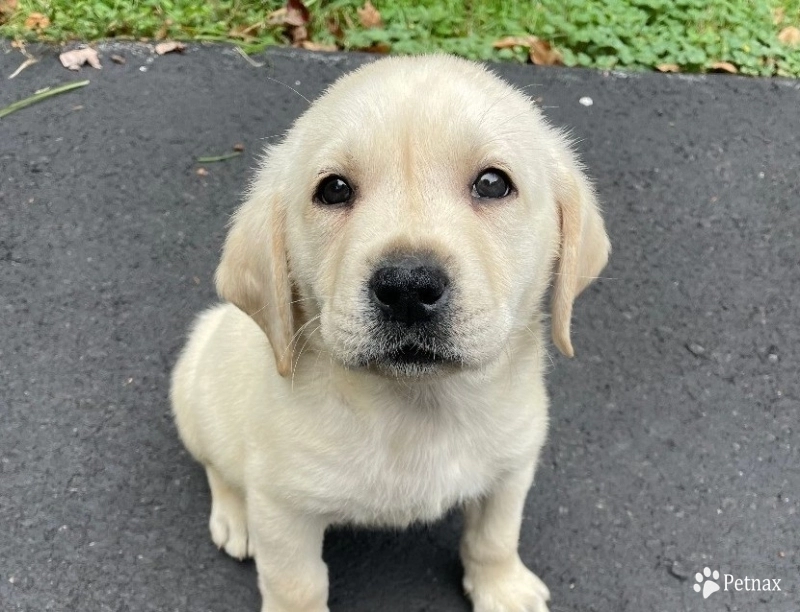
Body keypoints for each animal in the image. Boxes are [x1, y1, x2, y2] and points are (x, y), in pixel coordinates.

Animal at [172, 53, 608, 612]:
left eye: (493, 183)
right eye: (334, 190)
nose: (407, 288)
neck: (418, 408)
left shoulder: (513, 464)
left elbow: (495, 535)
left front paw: (502, 588)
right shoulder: (281, 504)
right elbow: (296, 583)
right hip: (193, 392)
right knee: (215, 466)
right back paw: (234, 516)